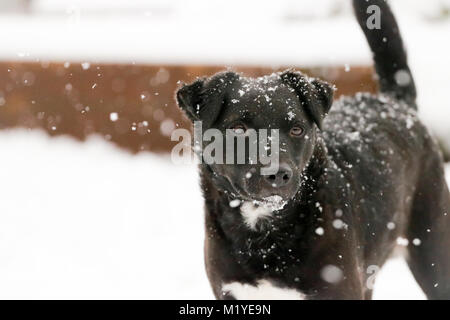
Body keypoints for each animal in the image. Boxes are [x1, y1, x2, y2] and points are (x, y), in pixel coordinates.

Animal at [175, 0, 450, 300]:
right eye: (238, 129)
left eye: (296, 129)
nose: (278, 174)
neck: (264, 231)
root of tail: (395, 102)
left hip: (433, 255)